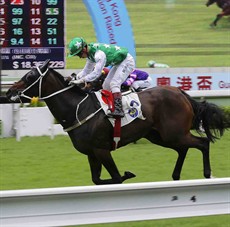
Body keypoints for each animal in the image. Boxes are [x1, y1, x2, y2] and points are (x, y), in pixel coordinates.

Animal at [5, 59, 225, 184]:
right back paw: (176, 176)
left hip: (174, 133)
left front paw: (128, 174)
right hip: (161, 136)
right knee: (183, 149)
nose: (9, 91)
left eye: (30, 76)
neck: (78, 109)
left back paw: (207, 173)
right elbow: (97, 180)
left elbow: (117, 178)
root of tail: (181, 92)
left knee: (203, 142)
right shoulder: (92, 153)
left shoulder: (102, 150)